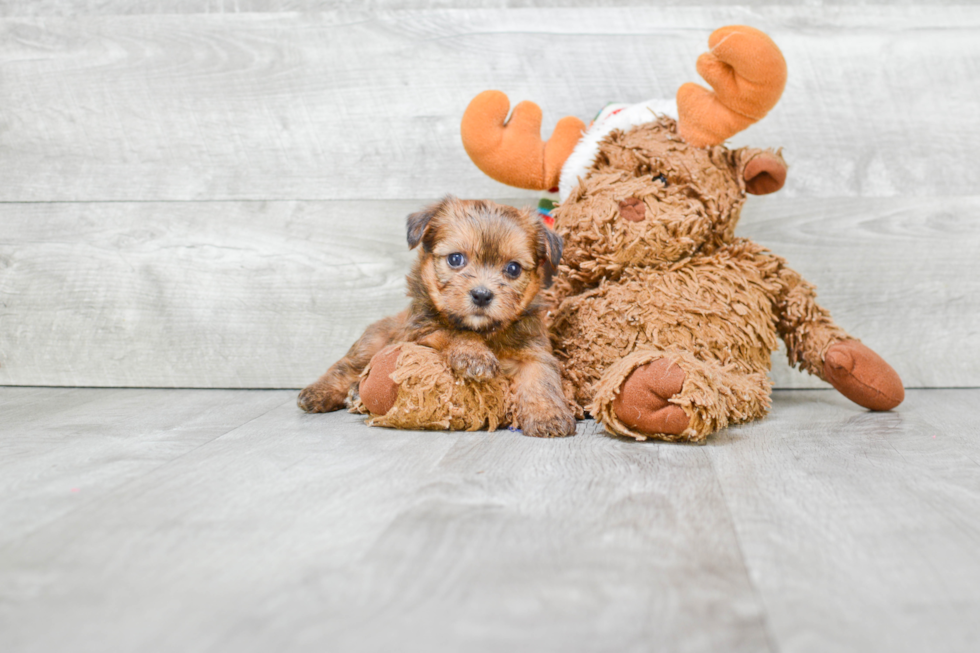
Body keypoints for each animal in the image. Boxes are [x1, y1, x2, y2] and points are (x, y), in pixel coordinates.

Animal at [296, 194, 576, 438]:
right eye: (455, 259)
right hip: (373, 342)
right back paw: (320, 392)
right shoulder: (420, 331)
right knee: (346, 368)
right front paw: (474, 354)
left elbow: (541, 380)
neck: (485, 332)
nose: (482, 295)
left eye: (513, 269)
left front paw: (548, 415)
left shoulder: (534, 349)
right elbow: (451, 331)